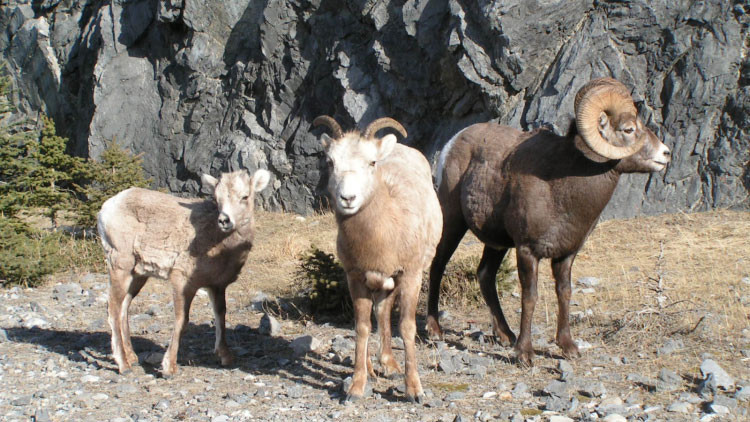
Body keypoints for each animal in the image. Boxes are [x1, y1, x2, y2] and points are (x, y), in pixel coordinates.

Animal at [97, 169, 270, 376]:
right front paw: (168, 367)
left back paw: (132, 357)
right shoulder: (182, 280)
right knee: (113, 309)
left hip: (138, 275)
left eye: (245, 196)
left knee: (123, 308)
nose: (224, 220)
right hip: (120, 265)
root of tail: (106, 209)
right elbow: (182, 320)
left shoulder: (217, 285)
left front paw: (225, 357)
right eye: (217, 199)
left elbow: (220, 315)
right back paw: (123, 365)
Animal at [312, 115, 442, 402]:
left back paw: (390, 367)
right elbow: (361, 327)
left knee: (384, 313)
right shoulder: (356, 278)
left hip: (393, 281)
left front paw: (414, 391)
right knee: (380, 314)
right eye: (330, 162)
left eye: (372, 162)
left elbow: (406, 328)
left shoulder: (410, 276)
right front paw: (356, 388)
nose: (348, 198)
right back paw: (378, 368)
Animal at [426, 78, 672, 366]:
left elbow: (564, 293)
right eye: (629, 129)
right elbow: (530, 297)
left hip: (497, 244)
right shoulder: (527, 251)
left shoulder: (566, 255)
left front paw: (568, 348)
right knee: (438, 264)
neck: (564, 187)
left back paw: (505, 335)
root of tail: (452, 144)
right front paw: (525, 354)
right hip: (452, 221)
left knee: (485, 275)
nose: (665, 154)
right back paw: (435, 331)